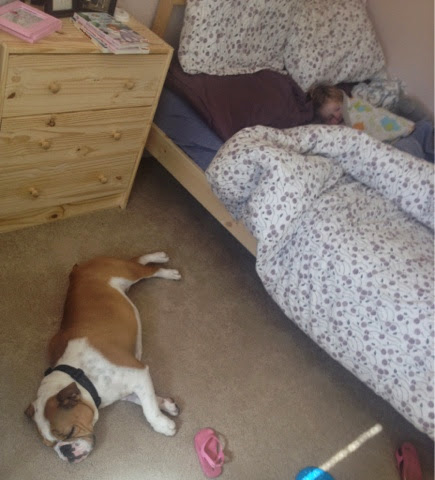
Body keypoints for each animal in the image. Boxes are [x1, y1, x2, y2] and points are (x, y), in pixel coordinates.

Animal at [25, 252, 181, 463]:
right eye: (50, 446)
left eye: (69, 432)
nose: (65, 452)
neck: (80, 375)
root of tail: (77, 269)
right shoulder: (125, 390)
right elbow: (145, 400)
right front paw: (165, 405)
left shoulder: (138, 373)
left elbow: (148, 408)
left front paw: (162, 425)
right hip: (126, 278)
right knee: (137, 261)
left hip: (127, 273)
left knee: (147, 269)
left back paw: (166, 268)